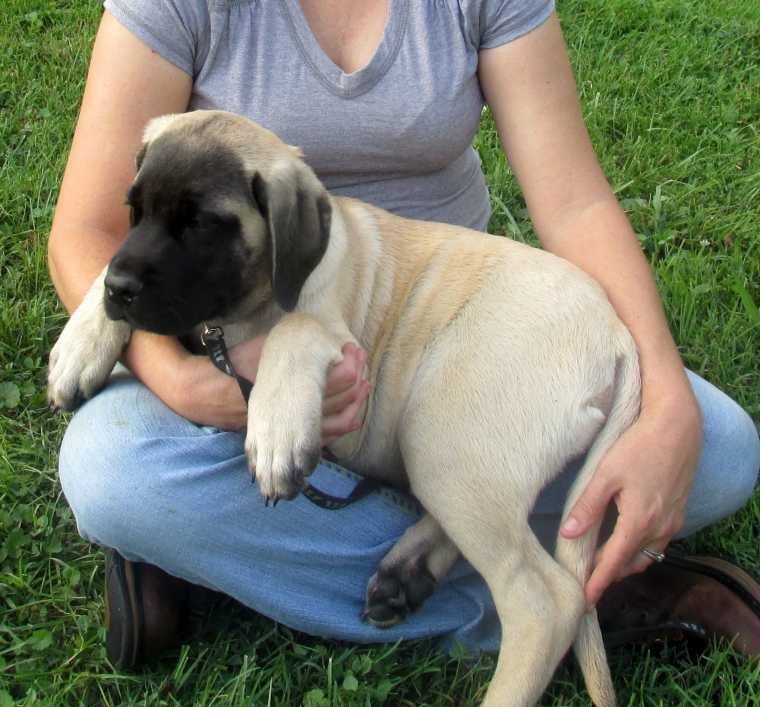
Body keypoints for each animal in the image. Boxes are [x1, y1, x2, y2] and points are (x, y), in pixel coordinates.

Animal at [49, 110, 640, 707]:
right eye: (135, 209)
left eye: (199, 224)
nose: (122, 290)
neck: (242, 310)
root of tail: (618, 336)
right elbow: (106, 263)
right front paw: (81, 344)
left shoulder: (327, 333)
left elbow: (293, 330)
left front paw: (275, 435)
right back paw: (405, 575)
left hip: (445, 425)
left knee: (544, 601)